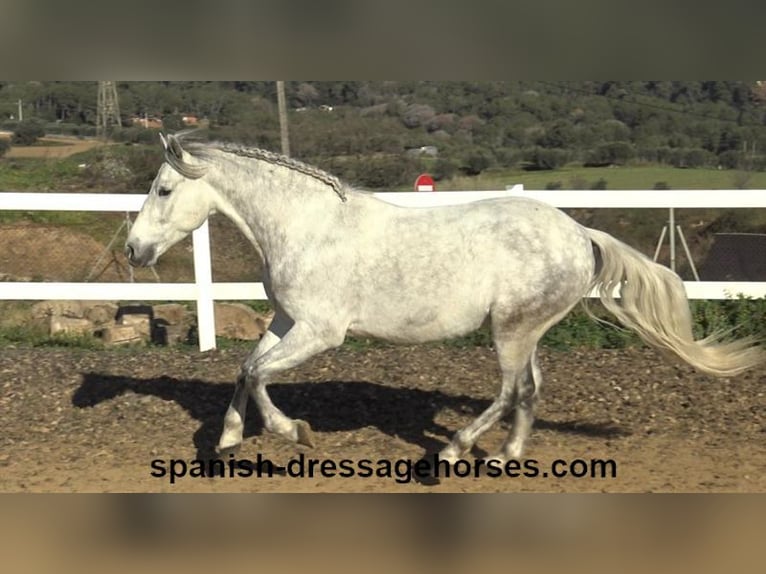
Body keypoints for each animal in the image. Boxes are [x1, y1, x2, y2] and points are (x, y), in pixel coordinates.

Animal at [123, 135, 764, 468]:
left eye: (164, 189)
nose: (134, 249)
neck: (307, 225)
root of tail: (580, 234)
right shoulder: (287, 320)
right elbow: (244, 368)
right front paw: (228, 440)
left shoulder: (321, 331)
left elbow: (257, 375)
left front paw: (294, 432)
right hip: (527, 330)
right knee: (529, 390)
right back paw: (506, 456)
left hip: (510, 329)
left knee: (508, 390)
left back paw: (455, 451)